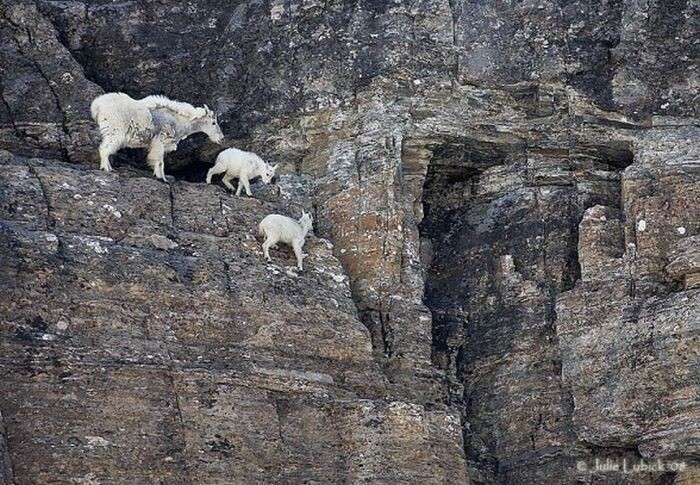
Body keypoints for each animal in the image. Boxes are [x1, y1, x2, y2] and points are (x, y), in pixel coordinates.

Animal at [89, 92, 223, 180]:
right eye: (213, 122)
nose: (221, 138)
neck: (179, 121)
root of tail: (97, 106)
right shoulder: (160, 141)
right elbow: (160, 161)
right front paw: (162, 178)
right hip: (115, 132)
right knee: (104, 149)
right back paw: (106, 168)